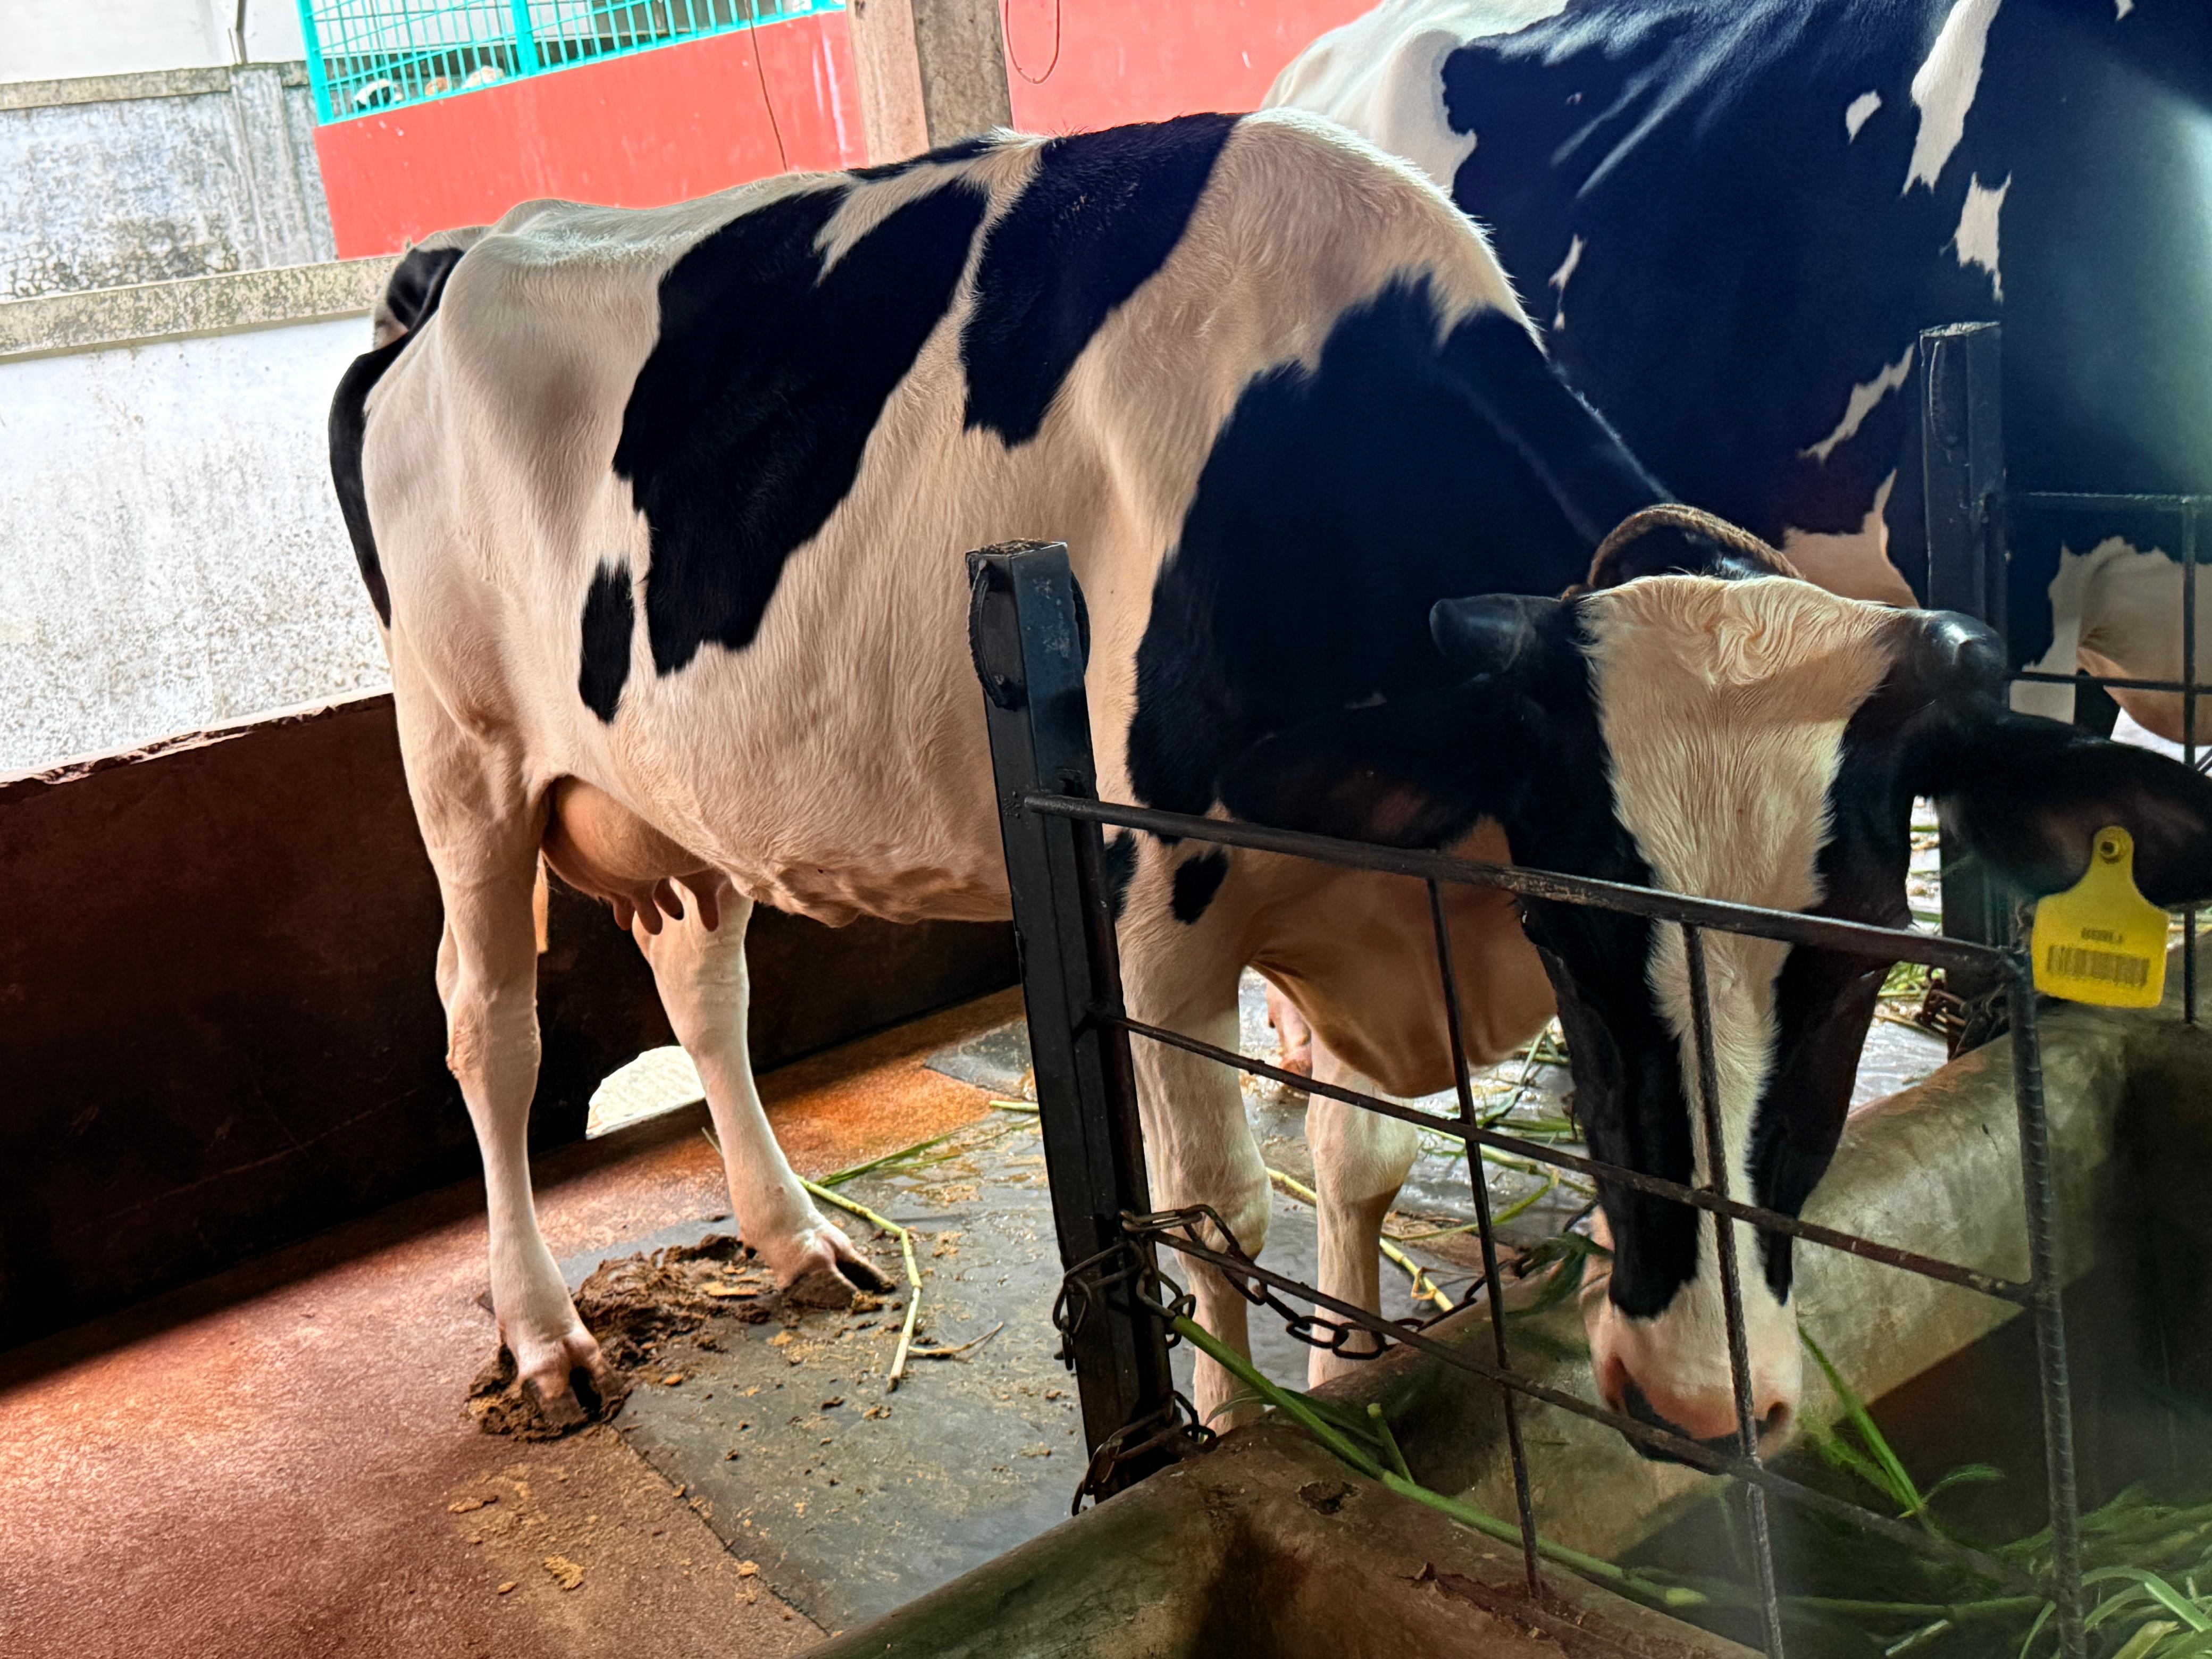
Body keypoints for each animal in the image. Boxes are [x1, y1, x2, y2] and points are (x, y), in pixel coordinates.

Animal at [332, 110, 2212, 1456]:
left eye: (1858, 961)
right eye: (1580, 935)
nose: (1692, 1397)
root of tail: (463, 250)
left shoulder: (1373, 889)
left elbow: (1357, 1162)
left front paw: (1352, 1360)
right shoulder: (1157, 903)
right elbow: (1212, 1207)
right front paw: (1239, 1439)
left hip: (667, 784)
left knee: (699, 979)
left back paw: (797, 1239)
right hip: (460, 751)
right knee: (489, 1028)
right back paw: (545, 1334)